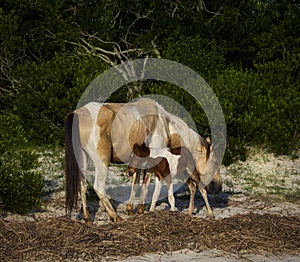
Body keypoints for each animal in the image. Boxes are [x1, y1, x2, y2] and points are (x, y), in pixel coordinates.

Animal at [64, 98, 221, 223]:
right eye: (214, 162)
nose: (218, 188)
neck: (165, 124)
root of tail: (77, 114)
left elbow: (136, 182)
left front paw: (131, 209)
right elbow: (146, 182)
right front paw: (140, 209)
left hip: (82, 160)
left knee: (83, 186)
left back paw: (87, 217)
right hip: (102, 161)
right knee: (98, 187)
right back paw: (115, 216)